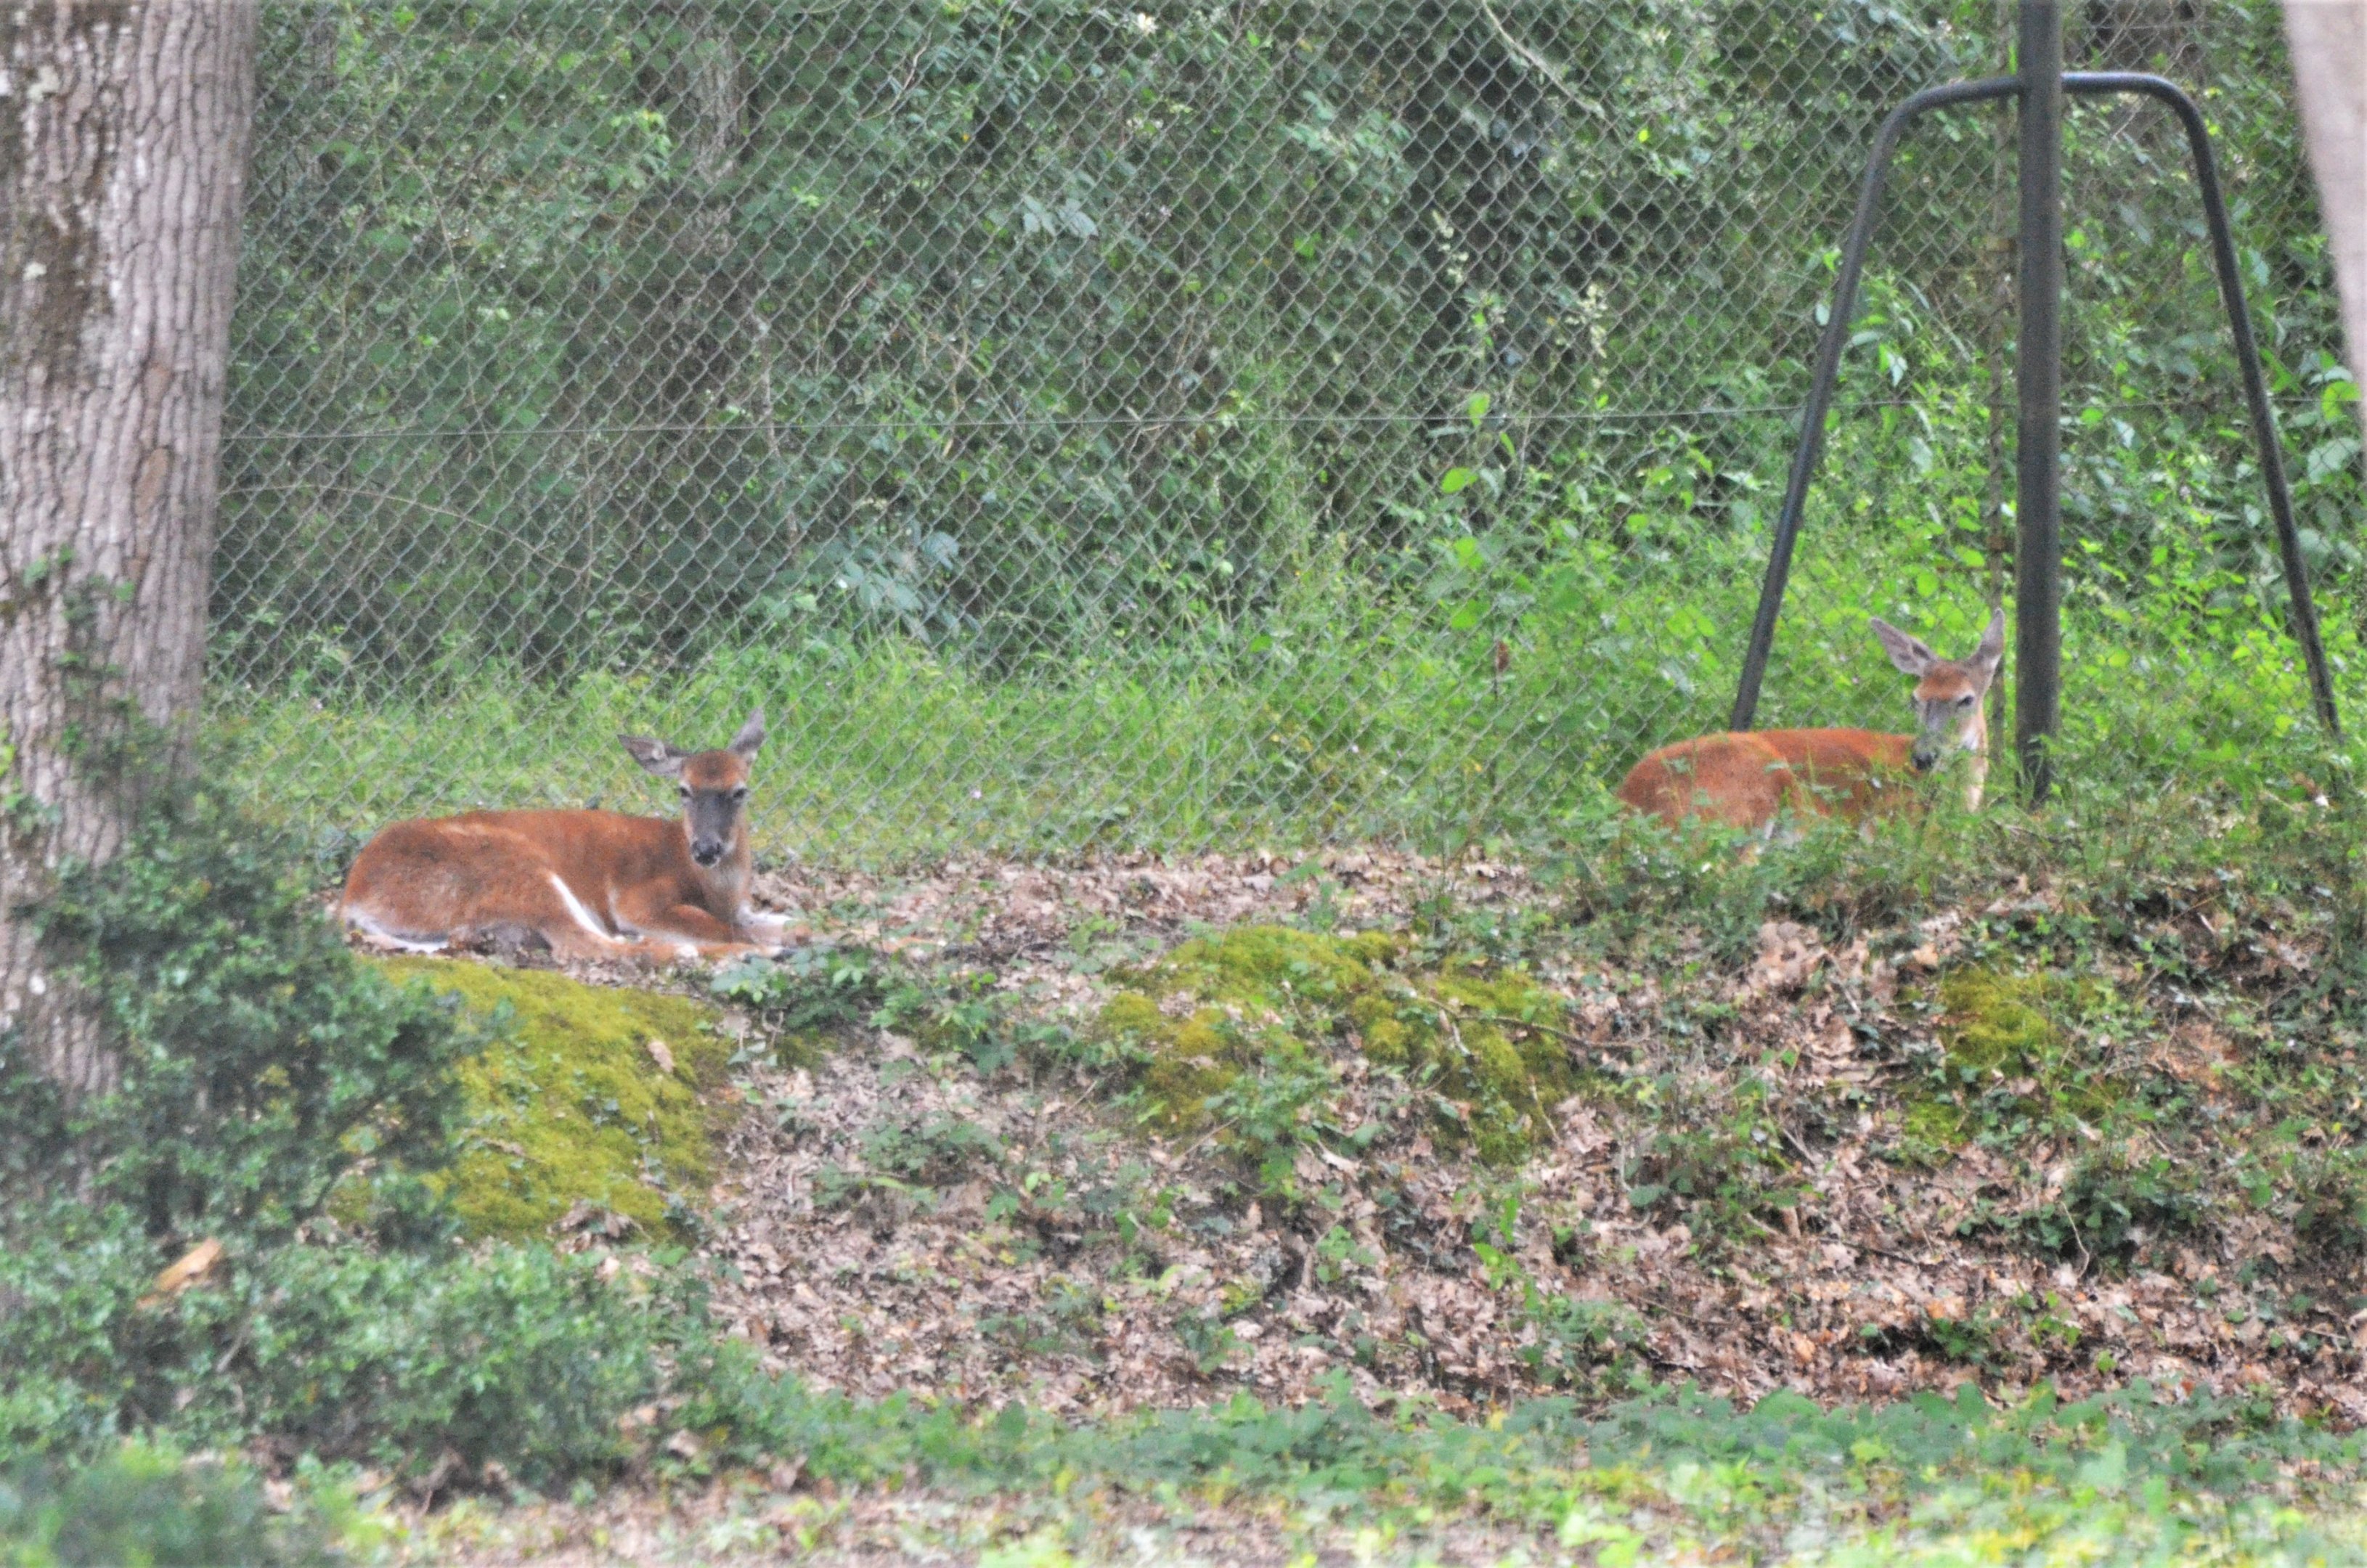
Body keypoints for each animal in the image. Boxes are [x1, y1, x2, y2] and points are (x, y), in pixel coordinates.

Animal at [339, 709, 794, 965]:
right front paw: (775, 944)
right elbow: (729, 929)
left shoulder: (741, 908)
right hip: (515, 867)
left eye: (740, 791)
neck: (719, 889)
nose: (706, 848)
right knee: (592, 945)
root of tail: (353, 897)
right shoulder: (639, 897)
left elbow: (785, 920)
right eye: (684, 790)